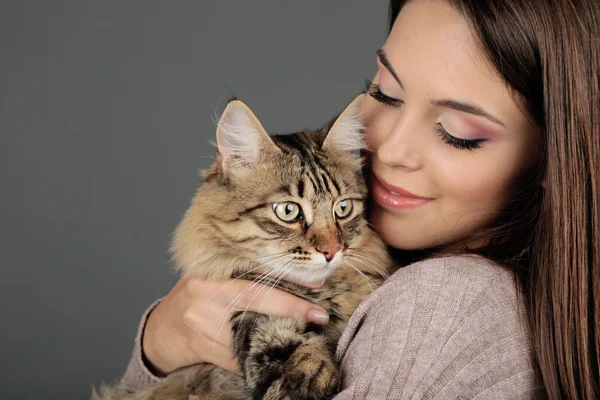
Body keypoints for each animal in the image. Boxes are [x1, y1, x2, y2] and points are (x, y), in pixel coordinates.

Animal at [94, 94, 394, 400]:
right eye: (288, 211)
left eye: (343, 208)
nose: (331, 252)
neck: (320, 294)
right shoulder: (254, 318)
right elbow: (279, 350)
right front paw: (311, 372)